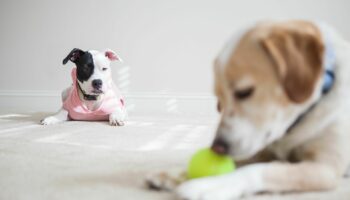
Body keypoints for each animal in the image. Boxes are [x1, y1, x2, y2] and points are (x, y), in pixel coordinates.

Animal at [146, 19, 350, 198]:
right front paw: (177, 173)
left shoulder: (325, 168)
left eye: (244, 92)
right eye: (219, 101)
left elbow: (260, 169)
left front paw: (212, 184)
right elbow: (240, 161)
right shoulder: (260, 151)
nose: (216, 148)